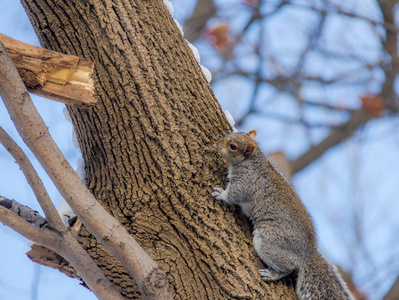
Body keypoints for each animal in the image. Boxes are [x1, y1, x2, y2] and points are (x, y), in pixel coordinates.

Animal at [212, 131, 354, 300]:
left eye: (232, 146)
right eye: (232, 134)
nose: (217, 140)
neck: (253, 162)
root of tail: (307, 253)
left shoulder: (246, 183)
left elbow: (234, 195)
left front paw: (221, 194)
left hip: (269, 242)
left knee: (287, 267)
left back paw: (273, 274)